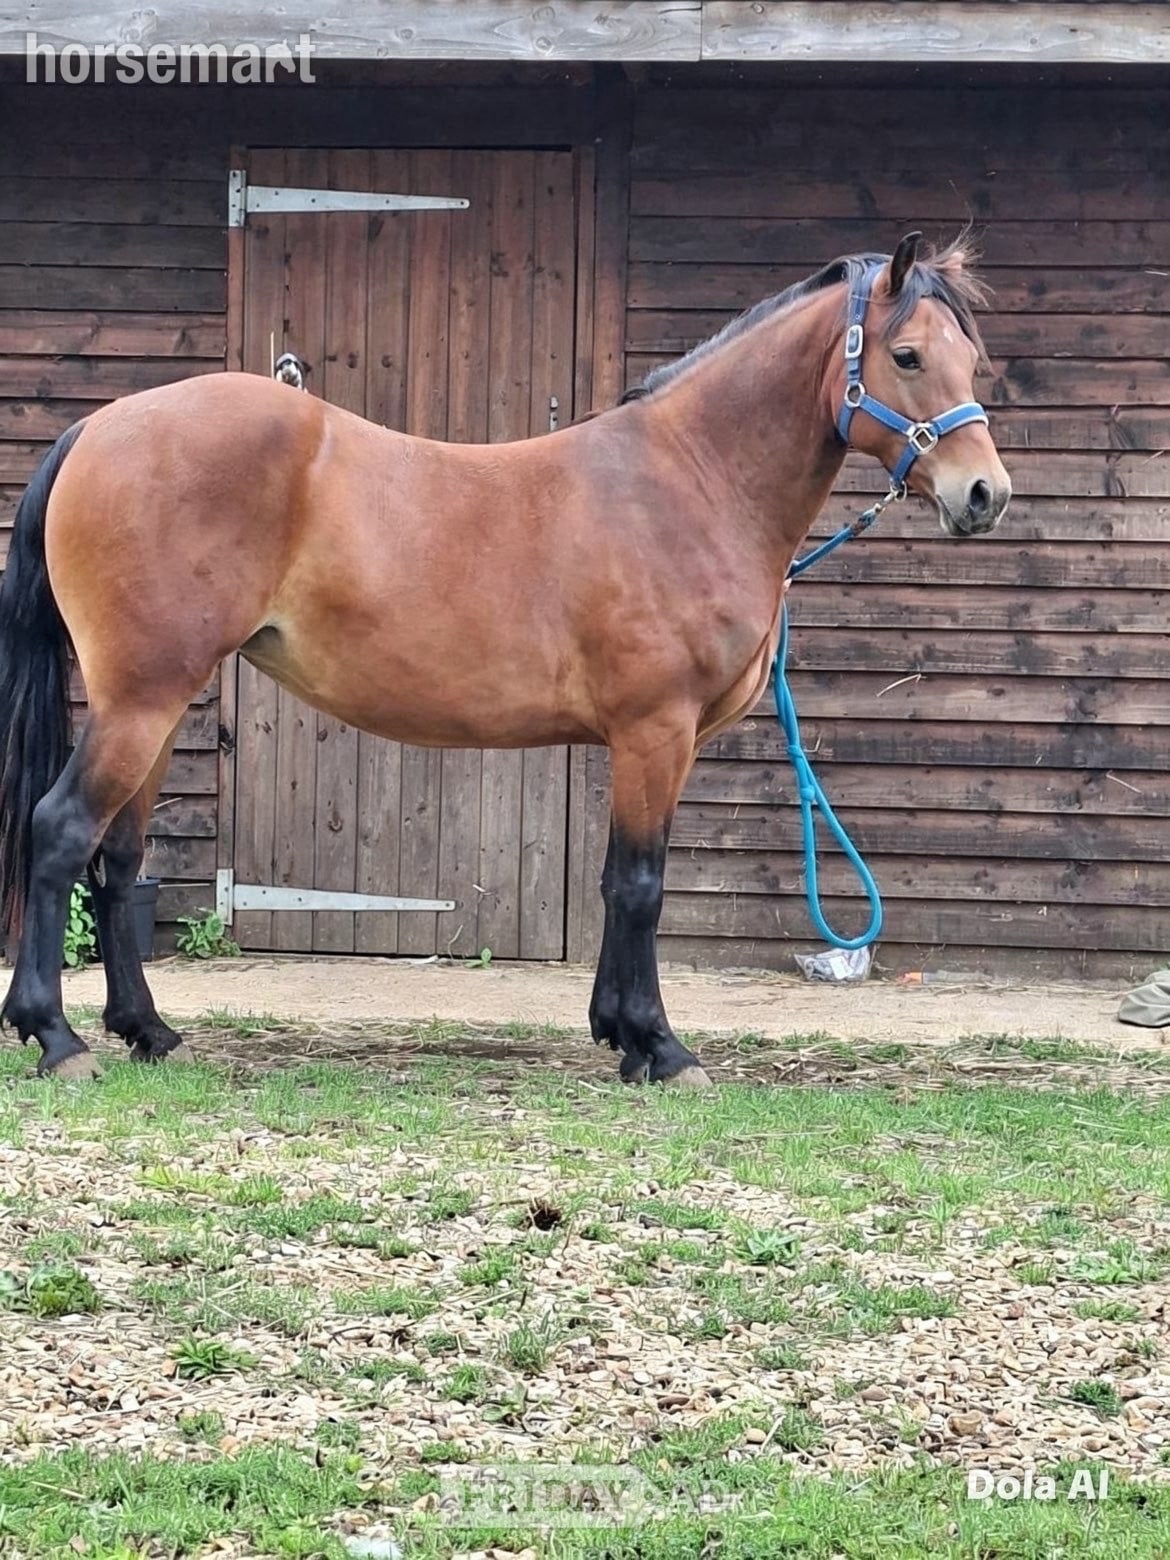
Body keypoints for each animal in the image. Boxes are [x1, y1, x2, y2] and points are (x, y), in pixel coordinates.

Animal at [0, 231, 1010, 1083]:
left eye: (975, 361)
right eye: (907, 356)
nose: (985, 494)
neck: (689, 481)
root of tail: (98, 428)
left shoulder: (646, 743)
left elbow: (612, 880)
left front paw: (618, 1031)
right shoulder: (655, 731)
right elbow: (641, 884)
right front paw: (659, 1047)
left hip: (157, 701)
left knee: (118, 857)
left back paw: (147, 1031)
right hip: (141, 699)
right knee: (61, 832)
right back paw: (57, 1038)